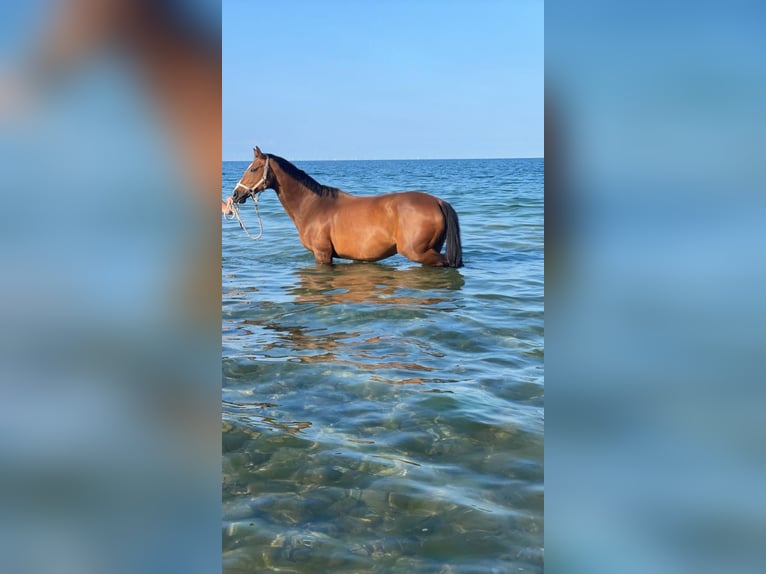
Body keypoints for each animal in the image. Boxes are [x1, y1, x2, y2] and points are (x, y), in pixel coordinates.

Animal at [228, 146, 464, 268]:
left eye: (254, 169)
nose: (235, 195)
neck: (313, 206)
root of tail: (438, 201)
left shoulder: (322, 255)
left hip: (419, 252)